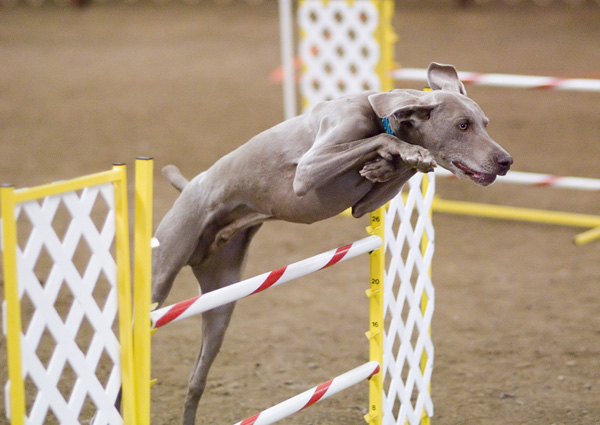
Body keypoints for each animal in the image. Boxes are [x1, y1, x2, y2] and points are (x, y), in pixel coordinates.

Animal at [152, 61, 512, 422]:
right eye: (462, 125)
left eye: (485, 123)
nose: (506, 161)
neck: (378, 115)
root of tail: (188, 187)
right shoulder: (308, 170)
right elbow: (381, 140)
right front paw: (403, 152)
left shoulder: (364, 205)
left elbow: (391, 167)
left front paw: (390, 163)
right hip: (163, 274)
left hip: (220, 303)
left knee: (195, 382)